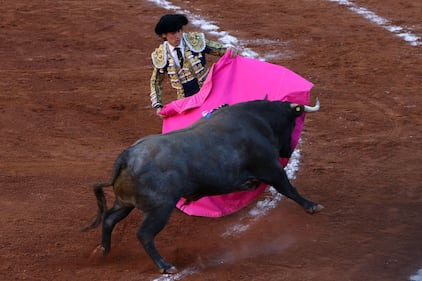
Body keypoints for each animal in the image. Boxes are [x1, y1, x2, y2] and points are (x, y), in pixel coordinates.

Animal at [82, 97, 324, 272]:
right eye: (292, 122)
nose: (288, 150)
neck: (258, 120)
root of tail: (127, 156)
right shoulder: (271, 168)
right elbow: (288, 188)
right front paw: (312, 206)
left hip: (125, 202)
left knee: (109, 219)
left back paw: (103, 251)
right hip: (160, 208)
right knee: (144, 234)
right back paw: (165, 266)